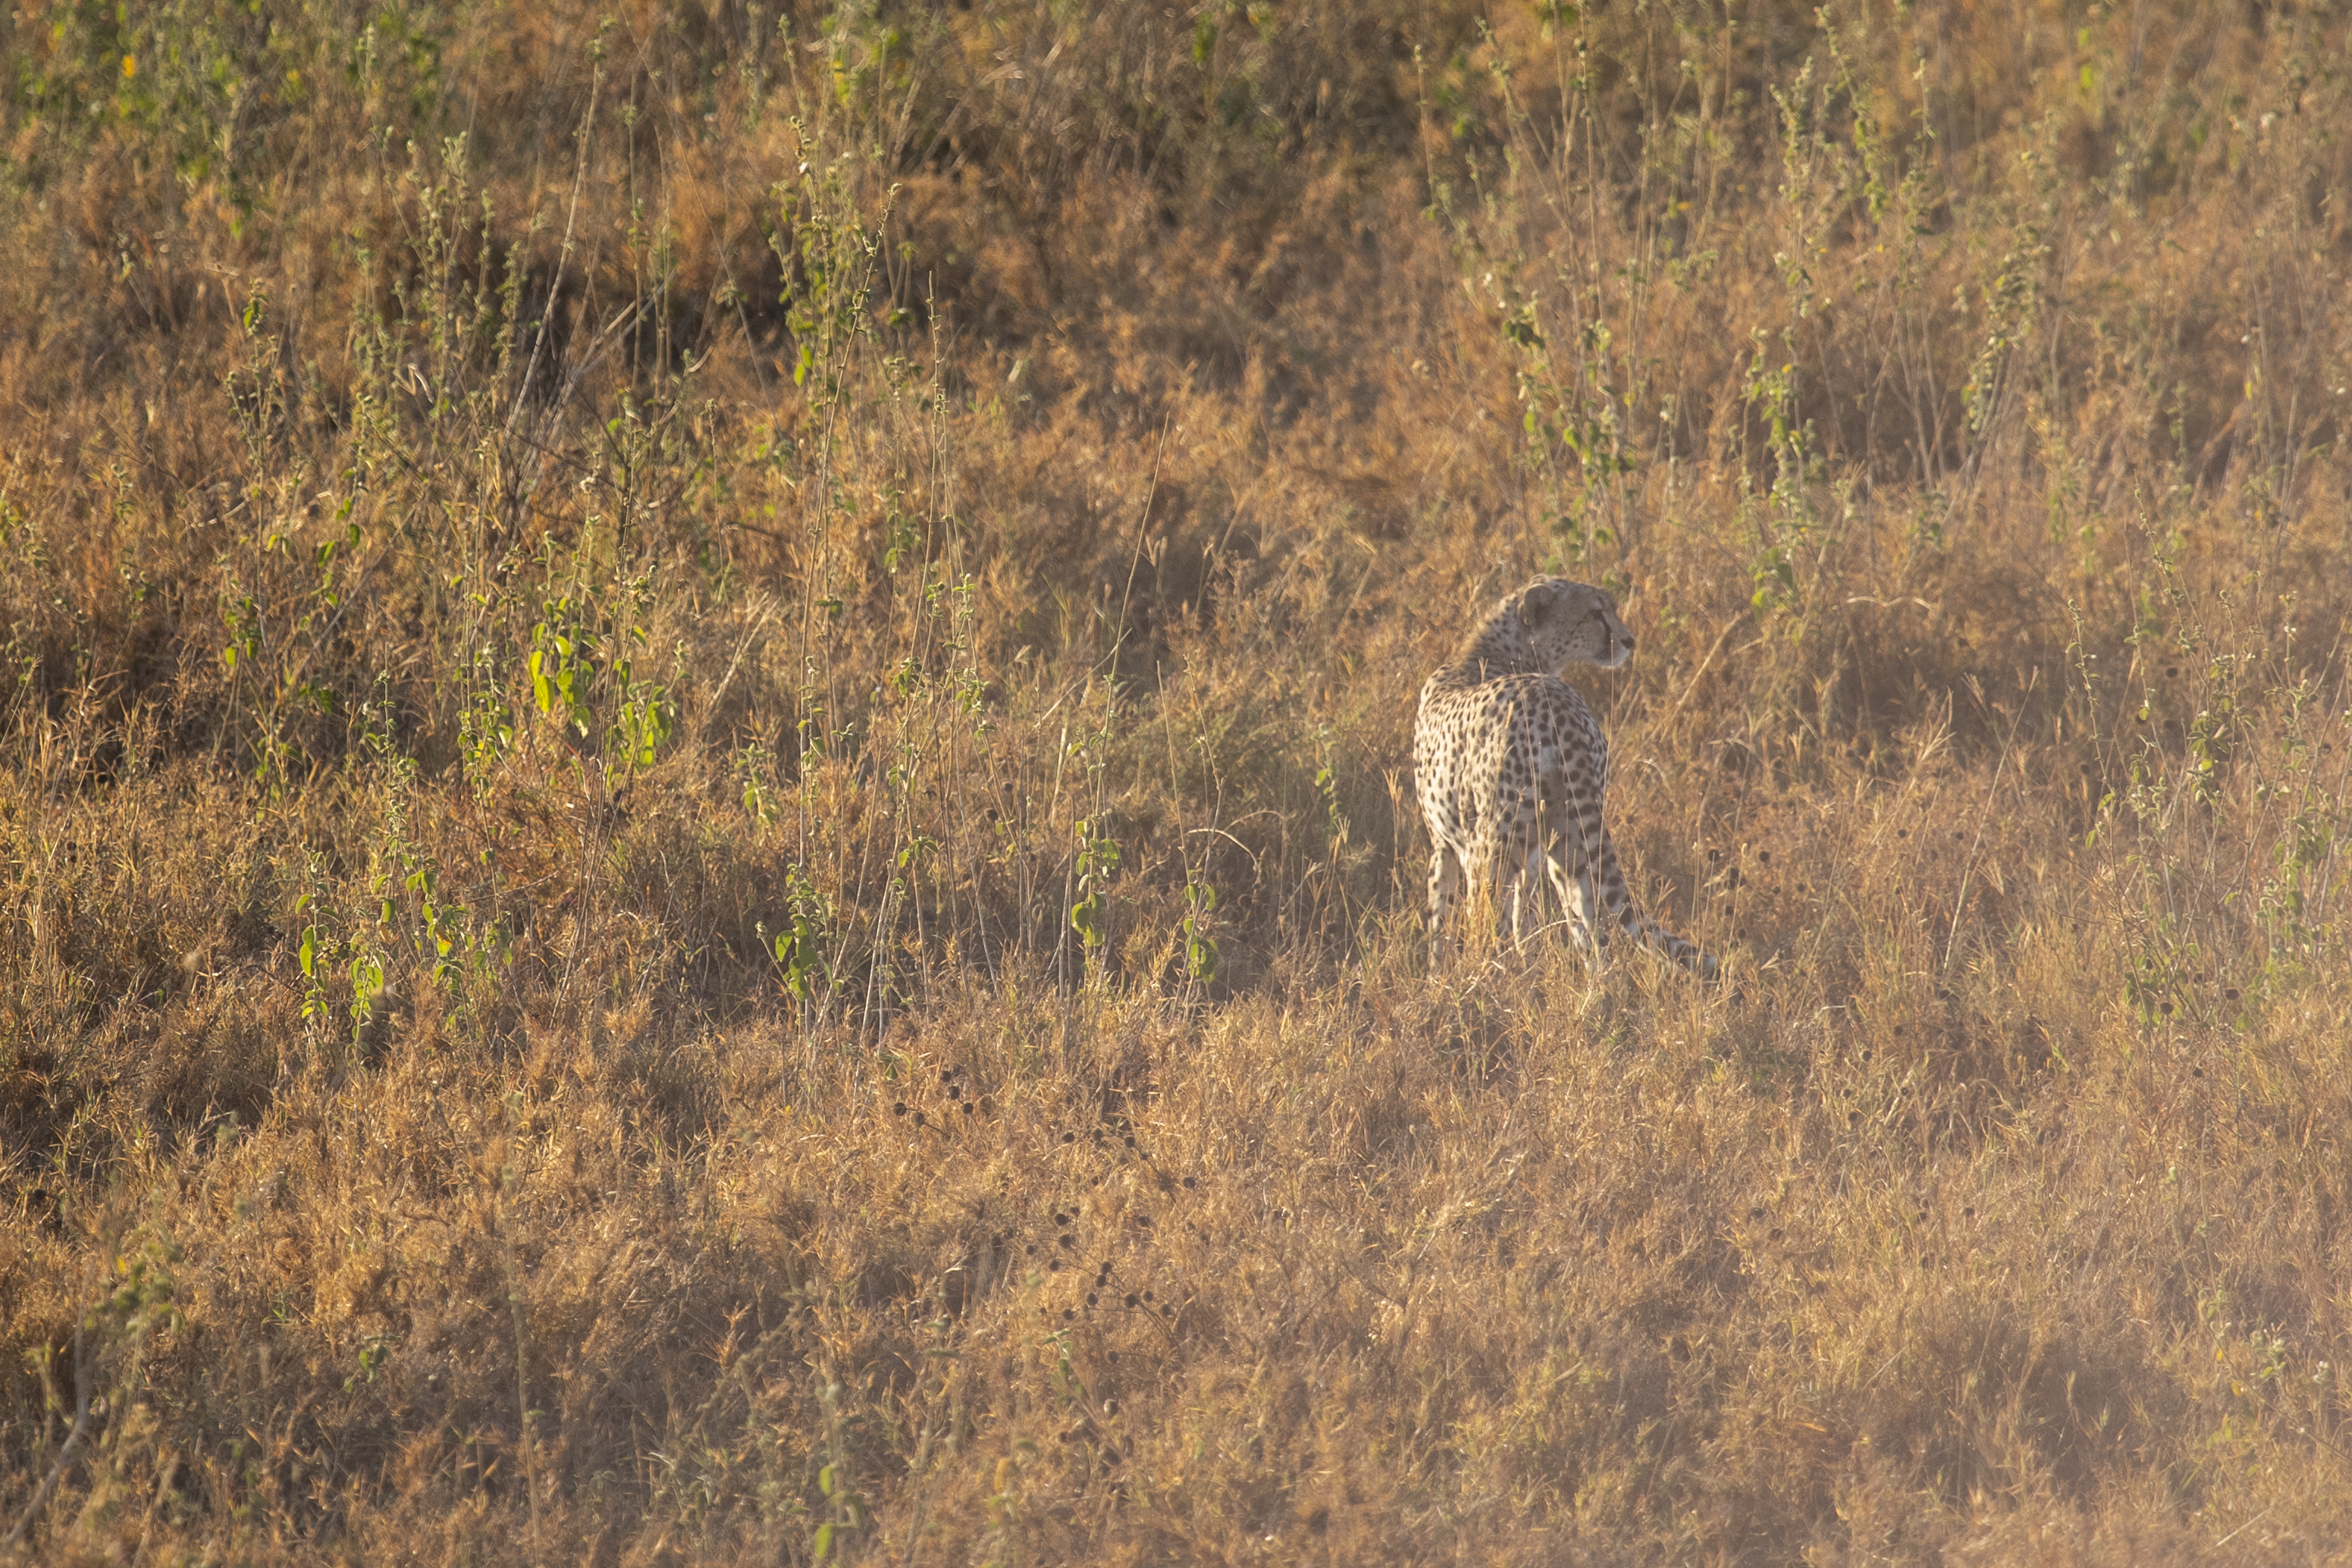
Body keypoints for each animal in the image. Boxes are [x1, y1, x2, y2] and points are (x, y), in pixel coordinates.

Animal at [1413, 576, 1717, 978]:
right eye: (1595, 613)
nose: (1628, 640)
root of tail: (1560, 707)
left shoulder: (1448, 844)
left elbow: (1441, 918)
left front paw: (1437, 979)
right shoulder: (1527, 856)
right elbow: (1522, 918)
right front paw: (1527, 967)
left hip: (1492, 846)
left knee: (1490, 924)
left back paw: (1487, 979)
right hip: (1572, 837)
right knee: (1591, 926)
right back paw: (1597, 989)